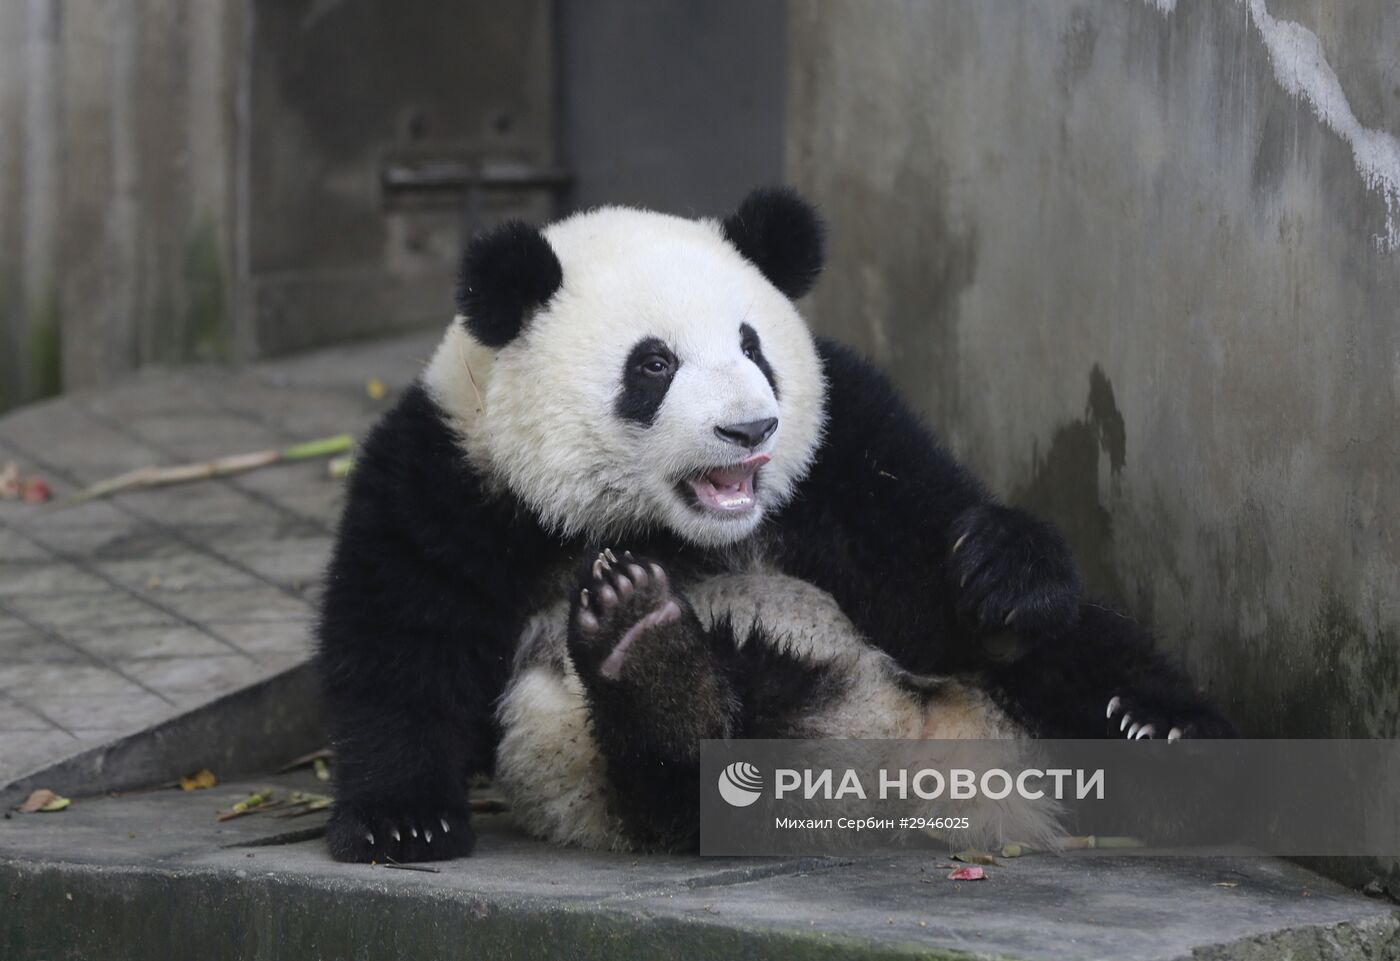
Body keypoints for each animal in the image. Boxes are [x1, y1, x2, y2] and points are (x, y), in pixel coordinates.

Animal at [320, 187, 1237, 868]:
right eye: (654, 364)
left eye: (752, 346)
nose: (750, 428)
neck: (668, 528)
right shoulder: (451, 476)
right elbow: (400, 640)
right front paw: (403, 821)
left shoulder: (843, 452)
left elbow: (926, 558)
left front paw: (1003, 569)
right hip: (602, 766)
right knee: (682, 776)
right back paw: (651, 656)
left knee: (1080, 651)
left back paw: (1166, 731)